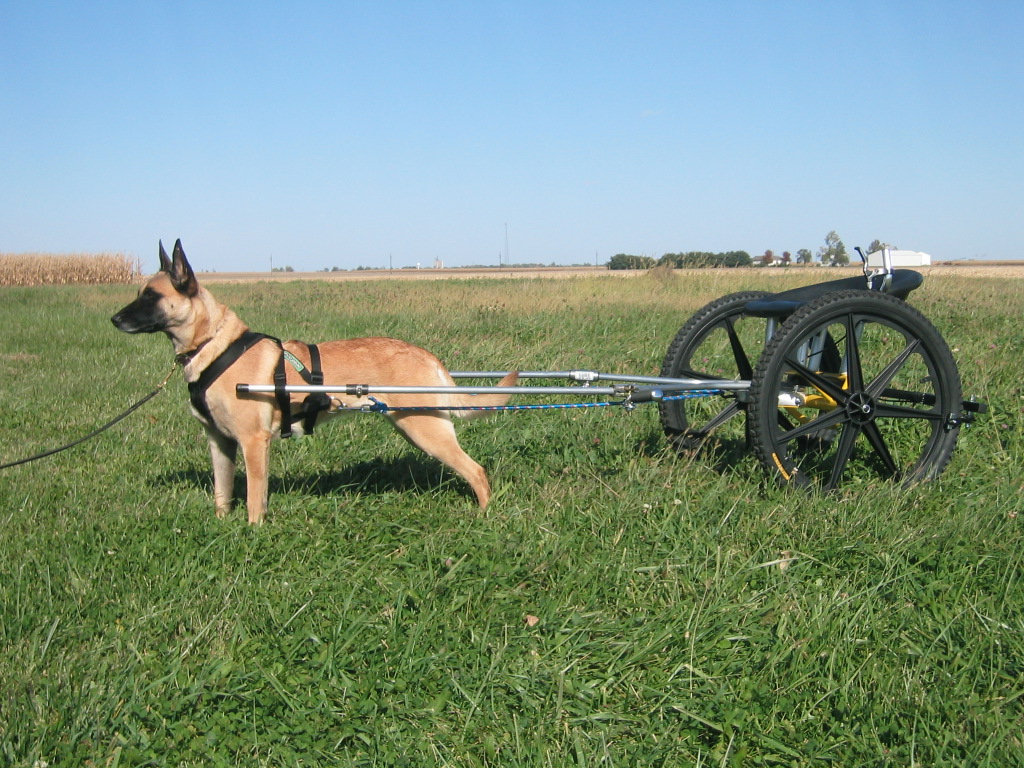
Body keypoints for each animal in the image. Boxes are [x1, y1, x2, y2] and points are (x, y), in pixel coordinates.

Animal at [110, 241, 520, 528]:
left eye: (151, 295)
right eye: (139, 292)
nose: (114, 320)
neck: (215, 345)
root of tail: (427, 355)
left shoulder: (253, 444)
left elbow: (255, 498)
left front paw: (253, 533)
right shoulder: (219, 442)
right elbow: (222, 494)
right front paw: (221, 526)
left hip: (425, 428)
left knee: (477, 471)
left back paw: (484, 517)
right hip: (414, 426)